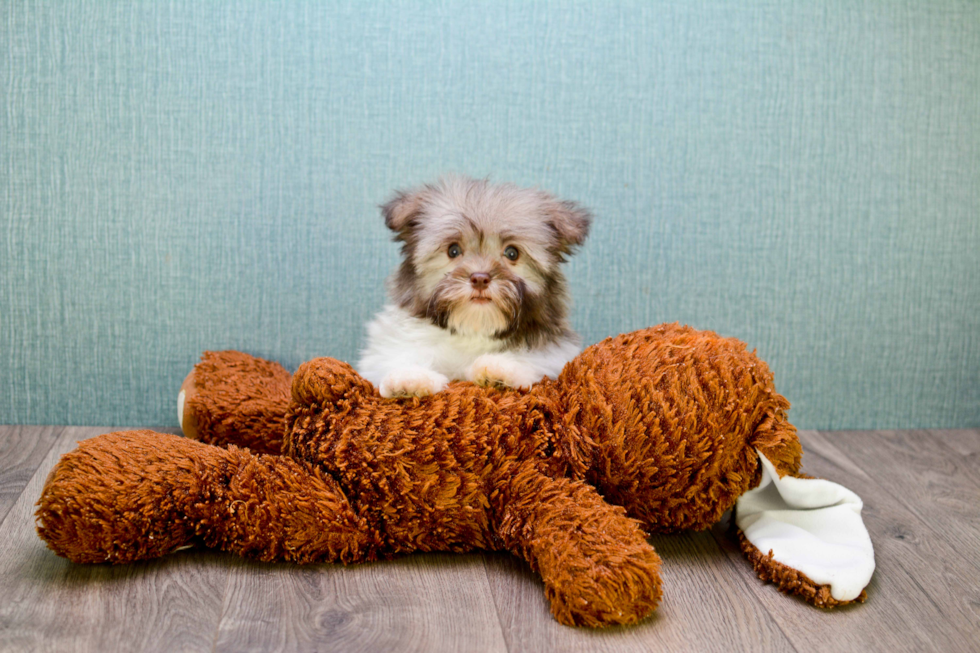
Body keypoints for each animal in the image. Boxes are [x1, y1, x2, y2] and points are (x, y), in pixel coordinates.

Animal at [358, 174, 588, 398]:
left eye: (512, 253)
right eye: (453, 250)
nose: (480, 278)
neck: (473, 329)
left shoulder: (555, 354)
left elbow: (536, 360)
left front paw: (500, 368)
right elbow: (398, 355)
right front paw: (409, 378)